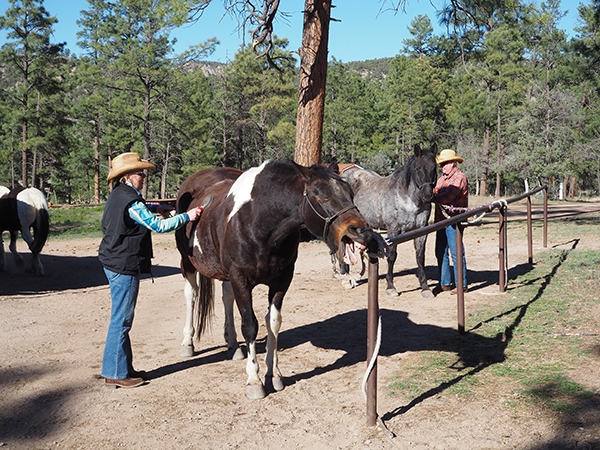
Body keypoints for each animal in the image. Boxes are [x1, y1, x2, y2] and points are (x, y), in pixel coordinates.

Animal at [173, 160, 384, 400]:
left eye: (350, 193)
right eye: (322, 196)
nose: (362, 231)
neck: (261, 222)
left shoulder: (281, 281)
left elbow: (273, 323)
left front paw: (273, 374)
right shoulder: (240, 278)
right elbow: (250, 325)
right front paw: (254, 380)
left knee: (227, 299)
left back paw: (233, 345)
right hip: (188, 262)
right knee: (191, 295)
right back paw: (187, 343)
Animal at [338, 144, 436, 298]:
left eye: (434, 167)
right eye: (418, 168)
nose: (427, 195)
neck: (409, 200)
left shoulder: (421, 230)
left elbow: (420, 257)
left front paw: (425, 288)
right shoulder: (393, 230)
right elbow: (392, 256)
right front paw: (391, 287)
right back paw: (345, 280)